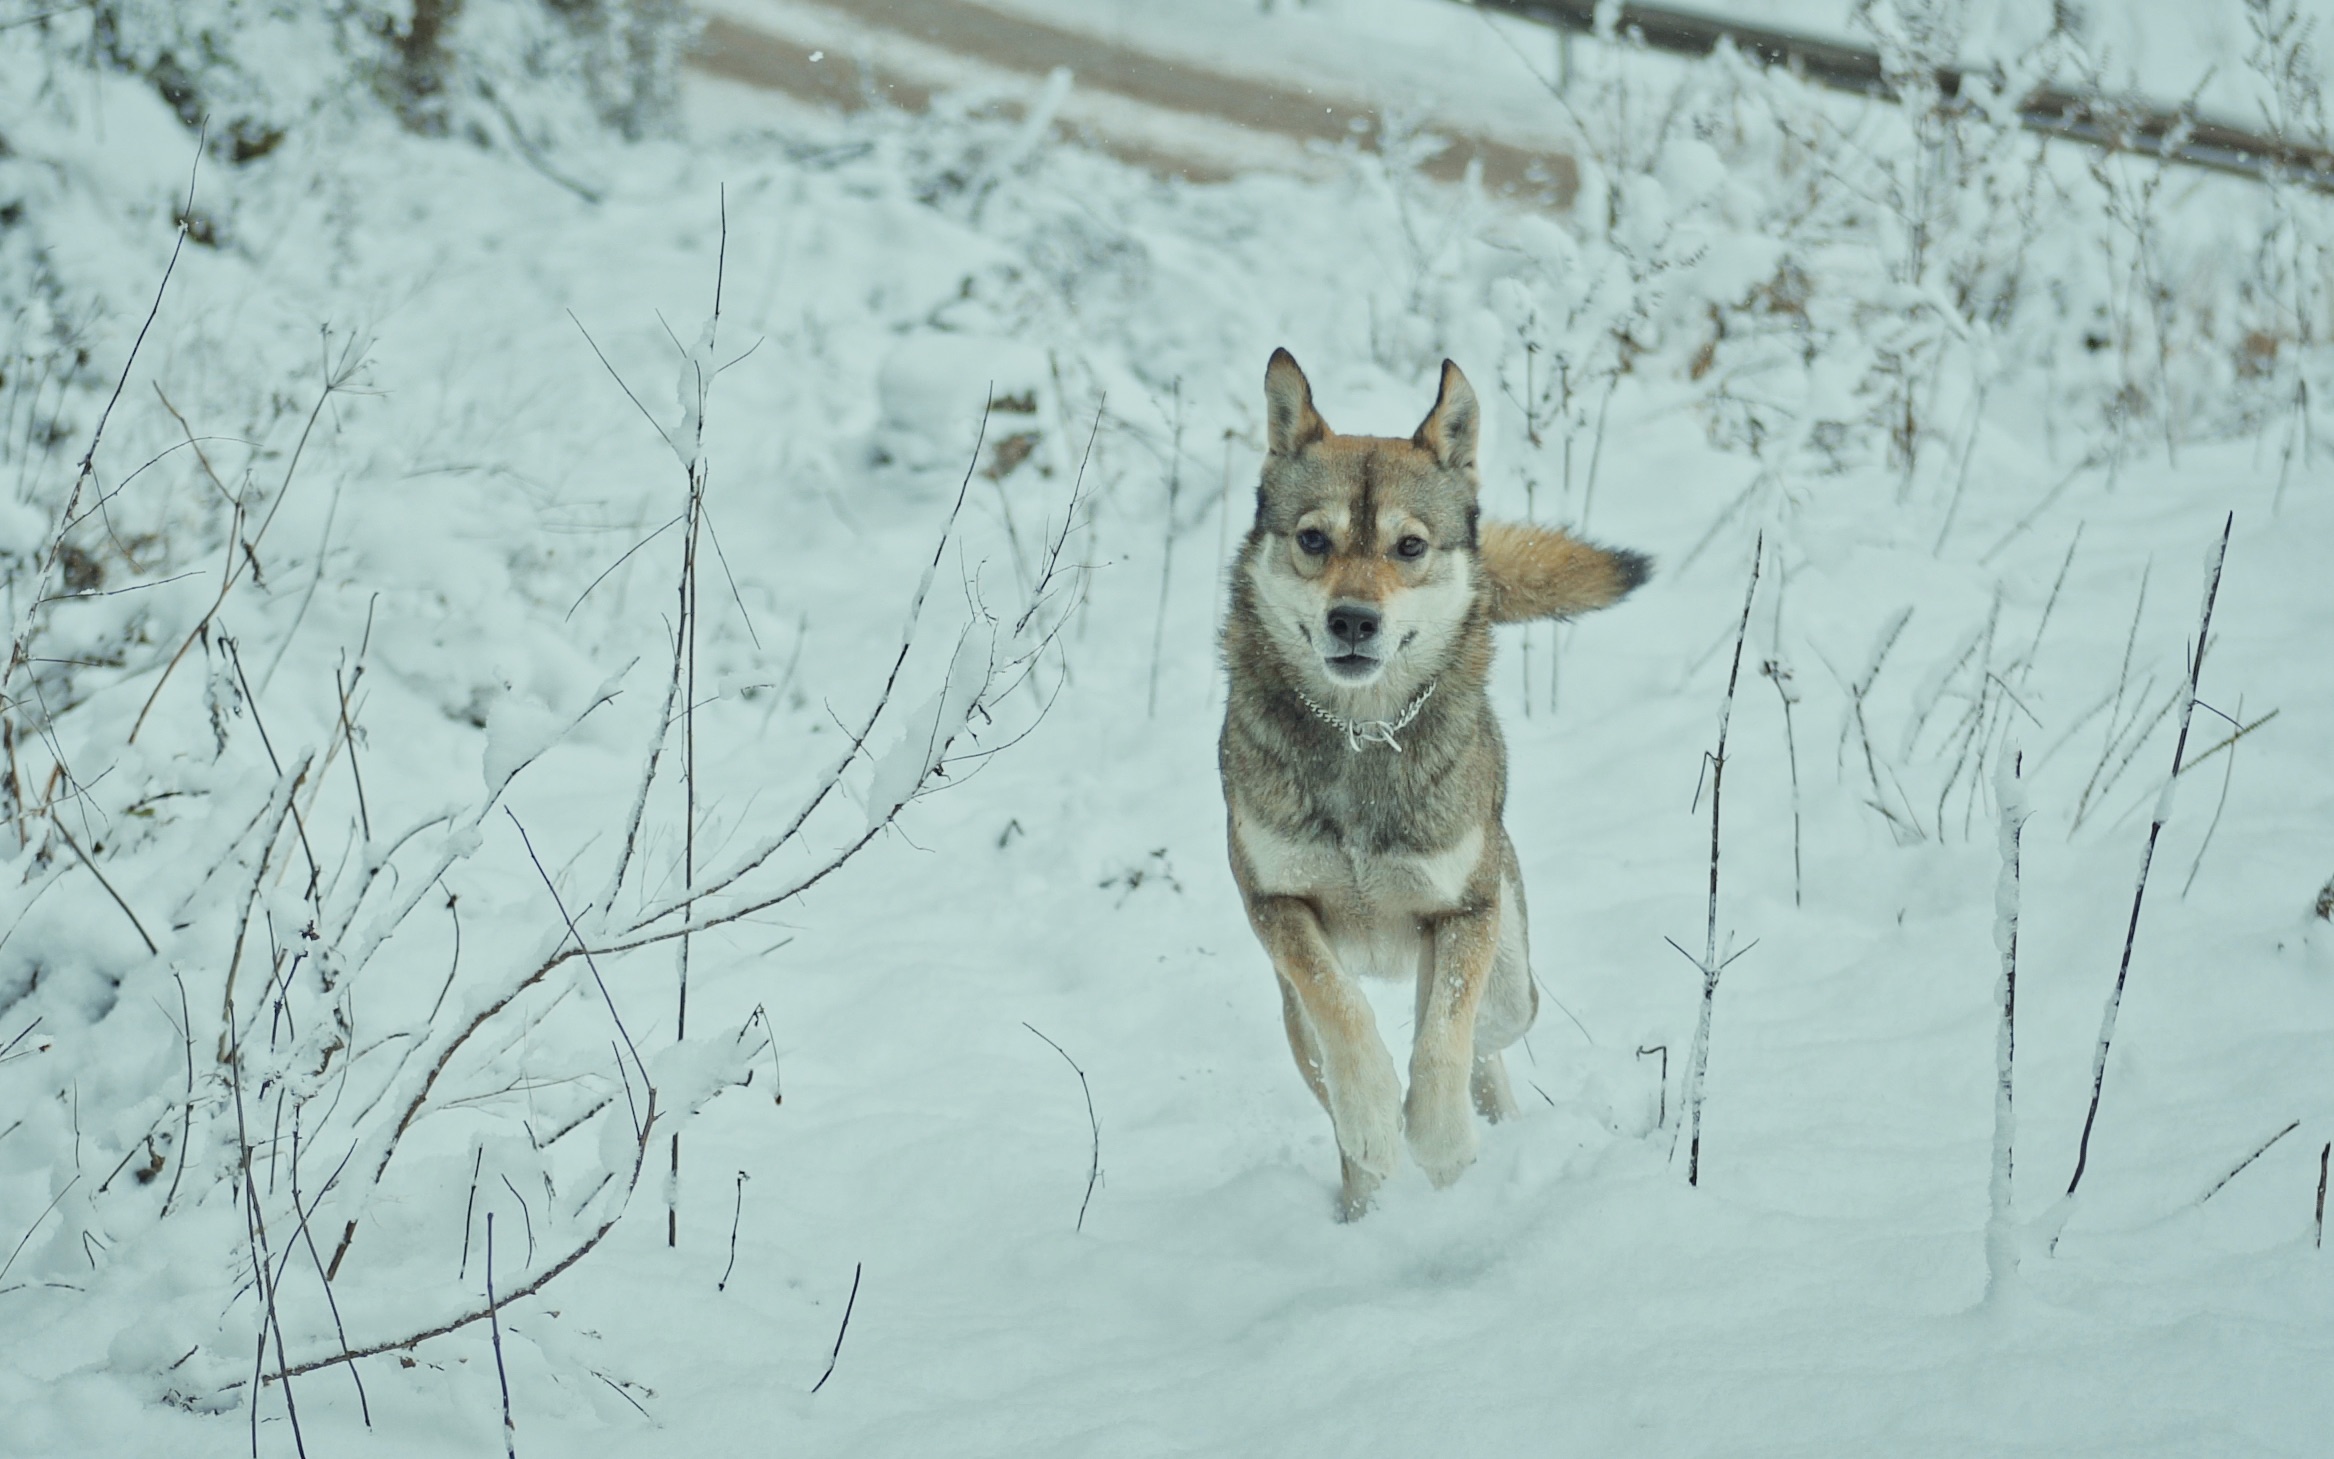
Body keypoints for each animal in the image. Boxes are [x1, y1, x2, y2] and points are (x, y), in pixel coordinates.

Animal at [1223, 347, 1643, 1213]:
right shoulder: (1274, 902)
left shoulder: (1465, 909)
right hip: (1295, 1027)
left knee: (1484, 1034)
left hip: (1513, 973)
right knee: (1341, 1083)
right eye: (1312, 538)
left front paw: (1442, 1139)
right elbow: (1342, 1011)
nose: (1353, 619)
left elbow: (1445, 1032)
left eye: (1410, 546)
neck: (1359, 735)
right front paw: (1378, 1115)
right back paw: (1365, 1197)